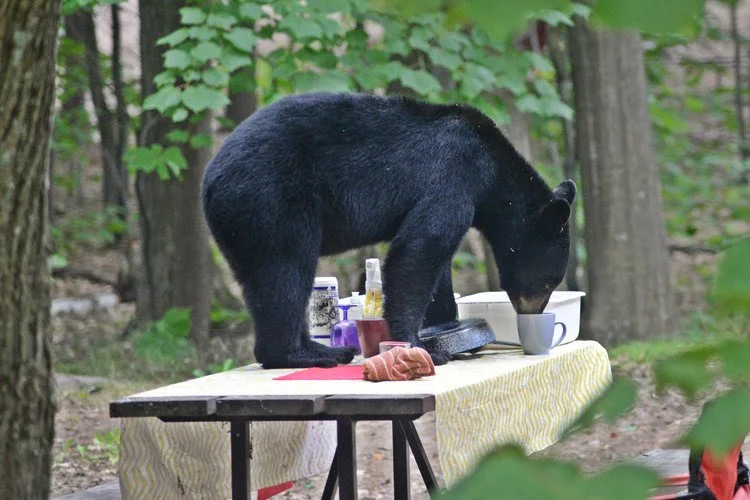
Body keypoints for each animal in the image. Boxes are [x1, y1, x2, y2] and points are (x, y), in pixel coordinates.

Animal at [201, 92, 576, 369]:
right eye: (549, 282)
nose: (533, 313)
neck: (493, 171)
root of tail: (210, 181)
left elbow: (435, 262)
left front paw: (441, 324)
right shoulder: (453, 175)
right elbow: (420, 249)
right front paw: (420, 345)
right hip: (270, 199)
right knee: (286, 270)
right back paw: (310, 354)